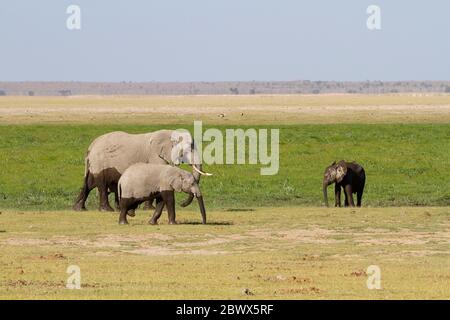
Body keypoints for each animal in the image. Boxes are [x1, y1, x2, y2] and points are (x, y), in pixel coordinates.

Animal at [72, 129, 211, 211]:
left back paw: (79, 208)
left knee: (90, 183)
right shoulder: (155, 155)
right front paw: (150, 209)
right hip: (100, 161)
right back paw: (107, 210)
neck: (170, 134)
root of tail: (91, 147)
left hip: (95, 163)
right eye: (188, 148)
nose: (182, 204)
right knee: (101, 183)